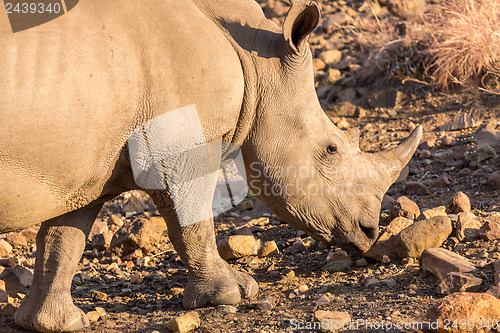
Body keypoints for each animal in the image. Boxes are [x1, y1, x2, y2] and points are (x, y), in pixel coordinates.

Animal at [0, 0, 422, 330]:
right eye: (331, 150)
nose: (369, 233)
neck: (255, 60)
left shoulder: (84, 159)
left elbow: (64, 236)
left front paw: (54, 323)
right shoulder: (176, 141)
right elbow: (192, 220)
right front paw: (234, 292)